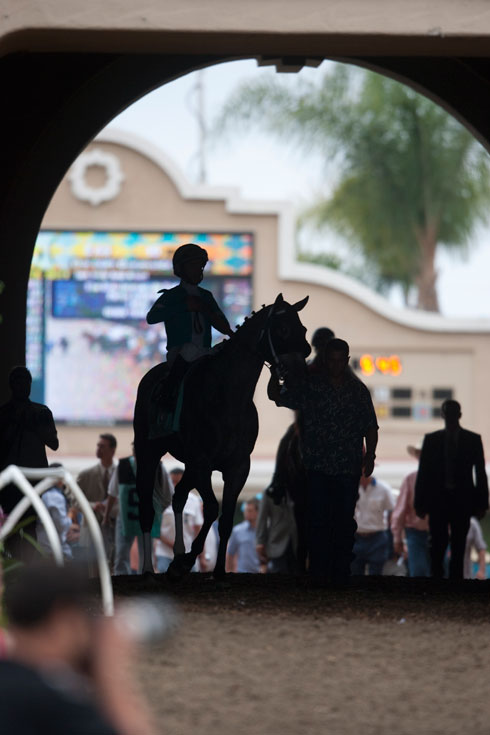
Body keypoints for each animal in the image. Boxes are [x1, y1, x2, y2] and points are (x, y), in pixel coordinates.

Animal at [134, 290, 310, 576]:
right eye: (283, 329)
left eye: (303, 330)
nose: (299, 377)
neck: (229, 396)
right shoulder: (203, 462)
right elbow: (212, 508)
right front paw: (190, 558)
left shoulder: (238, 465)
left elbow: (226, 517)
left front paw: (215, 569)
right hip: (148, 451)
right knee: (147, 507)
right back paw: (150, 567)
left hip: (188, 463)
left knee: (179, 496)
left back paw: (177, 554)